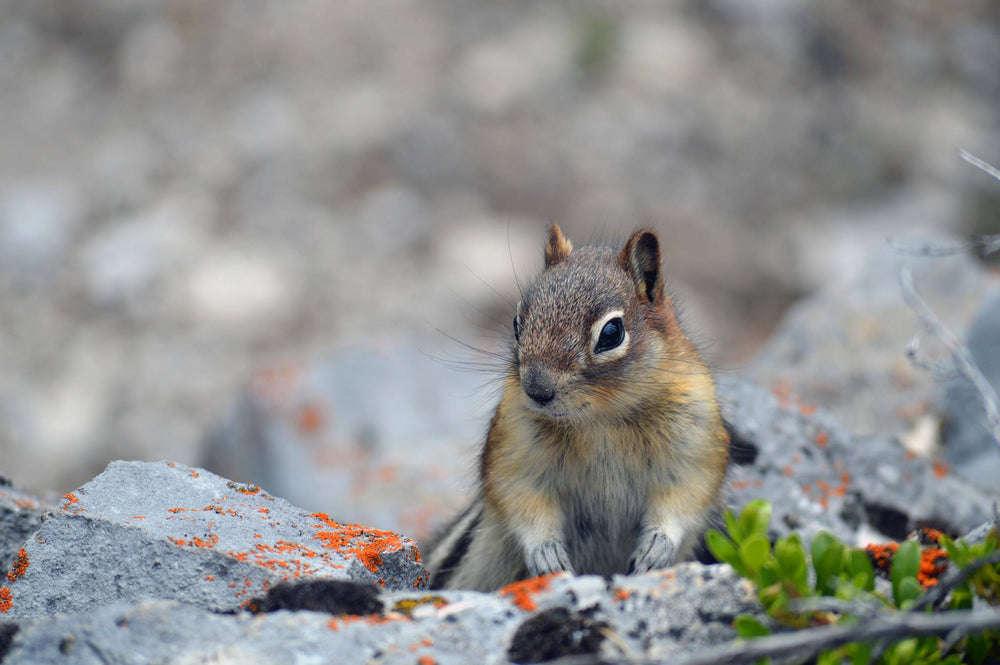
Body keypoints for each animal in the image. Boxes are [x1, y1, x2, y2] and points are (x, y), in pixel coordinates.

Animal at [426, 224, 732, 592]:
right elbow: (521, 498)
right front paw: (547, 553)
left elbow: (685, 497)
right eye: (517, 322)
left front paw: (657, 545)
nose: (537, 390)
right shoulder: (515, 447)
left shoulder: (695, 443)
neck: (601, 418)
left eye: (612, 332)